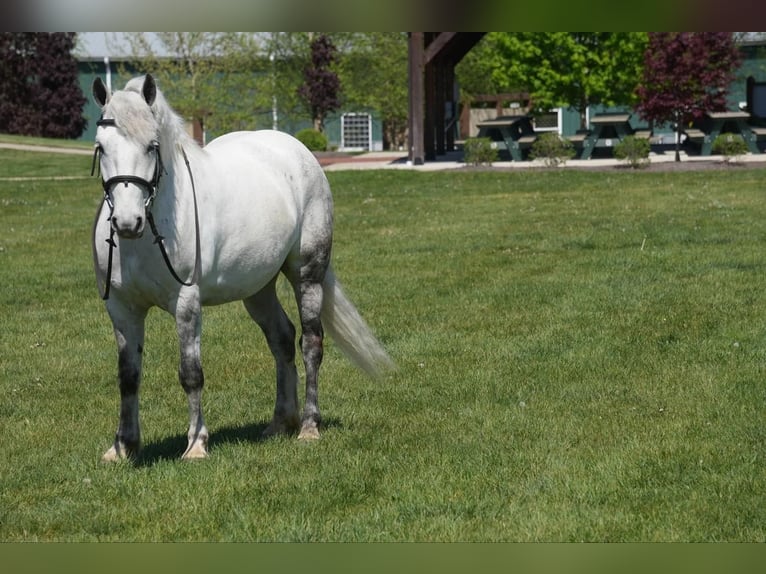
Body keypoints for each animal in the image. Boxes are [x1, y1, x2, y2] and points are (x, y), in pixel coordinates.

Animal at [91, 75, 396, 464]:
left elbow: (191, 373)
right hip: (258, 289)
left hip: (307, 274)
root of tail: (297, 150)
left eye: (152, 146)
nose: (128, 222)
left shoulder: (186, 304)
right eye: (101, 147)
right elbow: (128, 376)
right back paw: (280, 423)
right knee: (281, 339)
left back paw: (309, 427)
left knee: (311, 342)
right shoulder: (122, 308)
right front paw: (123, 447)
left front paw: (196, 444)